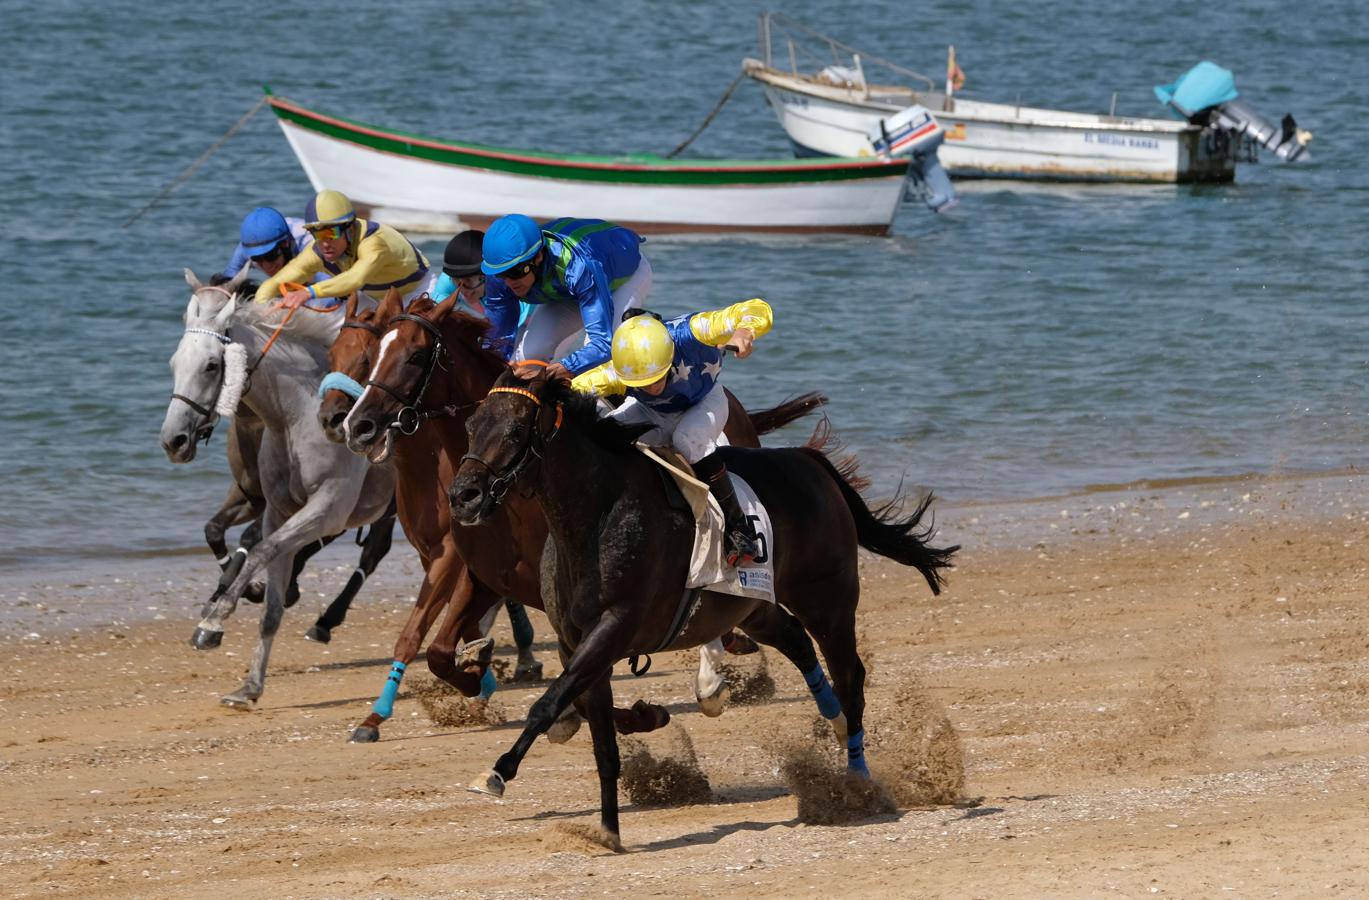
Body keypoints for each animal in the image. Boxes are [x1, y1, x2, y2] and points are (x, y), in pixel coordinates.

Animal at [338, 291, 821, 739]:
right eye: (373, 354)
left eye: (416, 356)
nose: (358, 425)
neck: (522, 500)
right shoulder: (483, 577)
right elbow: (438, 650)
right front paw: (478, 673)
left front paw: (636, 714)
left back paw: (709, 683)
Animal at [449, 367, 952, 849]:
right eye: (471, 426)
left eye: (516, 429)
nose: (462, 496)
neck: (601, 514)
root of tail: (808, 461)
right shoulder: (580, 645)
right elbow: (603, 745)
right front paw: (607, 832)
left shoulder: (613, 628)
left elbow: (547, 704)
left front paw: (496, 772)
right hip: (754, 607)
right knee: (797, 643)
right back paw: (836, 723)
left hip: (828, 603)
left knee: (850, 676)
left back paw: (857, 779)